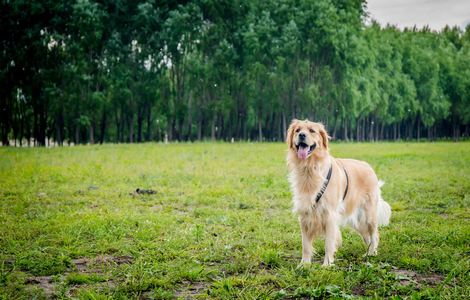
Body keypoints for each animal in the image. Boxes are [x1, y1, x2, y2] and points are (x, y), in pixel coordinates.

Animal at [286, 119, 392, 264]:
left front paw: (327, 264)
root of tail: (368, 166)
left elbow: (328, 243)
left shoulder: (330, 215)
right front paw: (304, 265)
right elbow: (305, 245)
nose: (301, 135)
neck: (310, 169)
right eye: (297, 130)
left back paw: (371, 254)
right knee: (367, 236)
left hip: (369, 215)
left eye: (312, 130)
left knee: (374, 235)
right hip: (356, 220)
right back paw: (368, 253)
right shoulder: (304, 214)